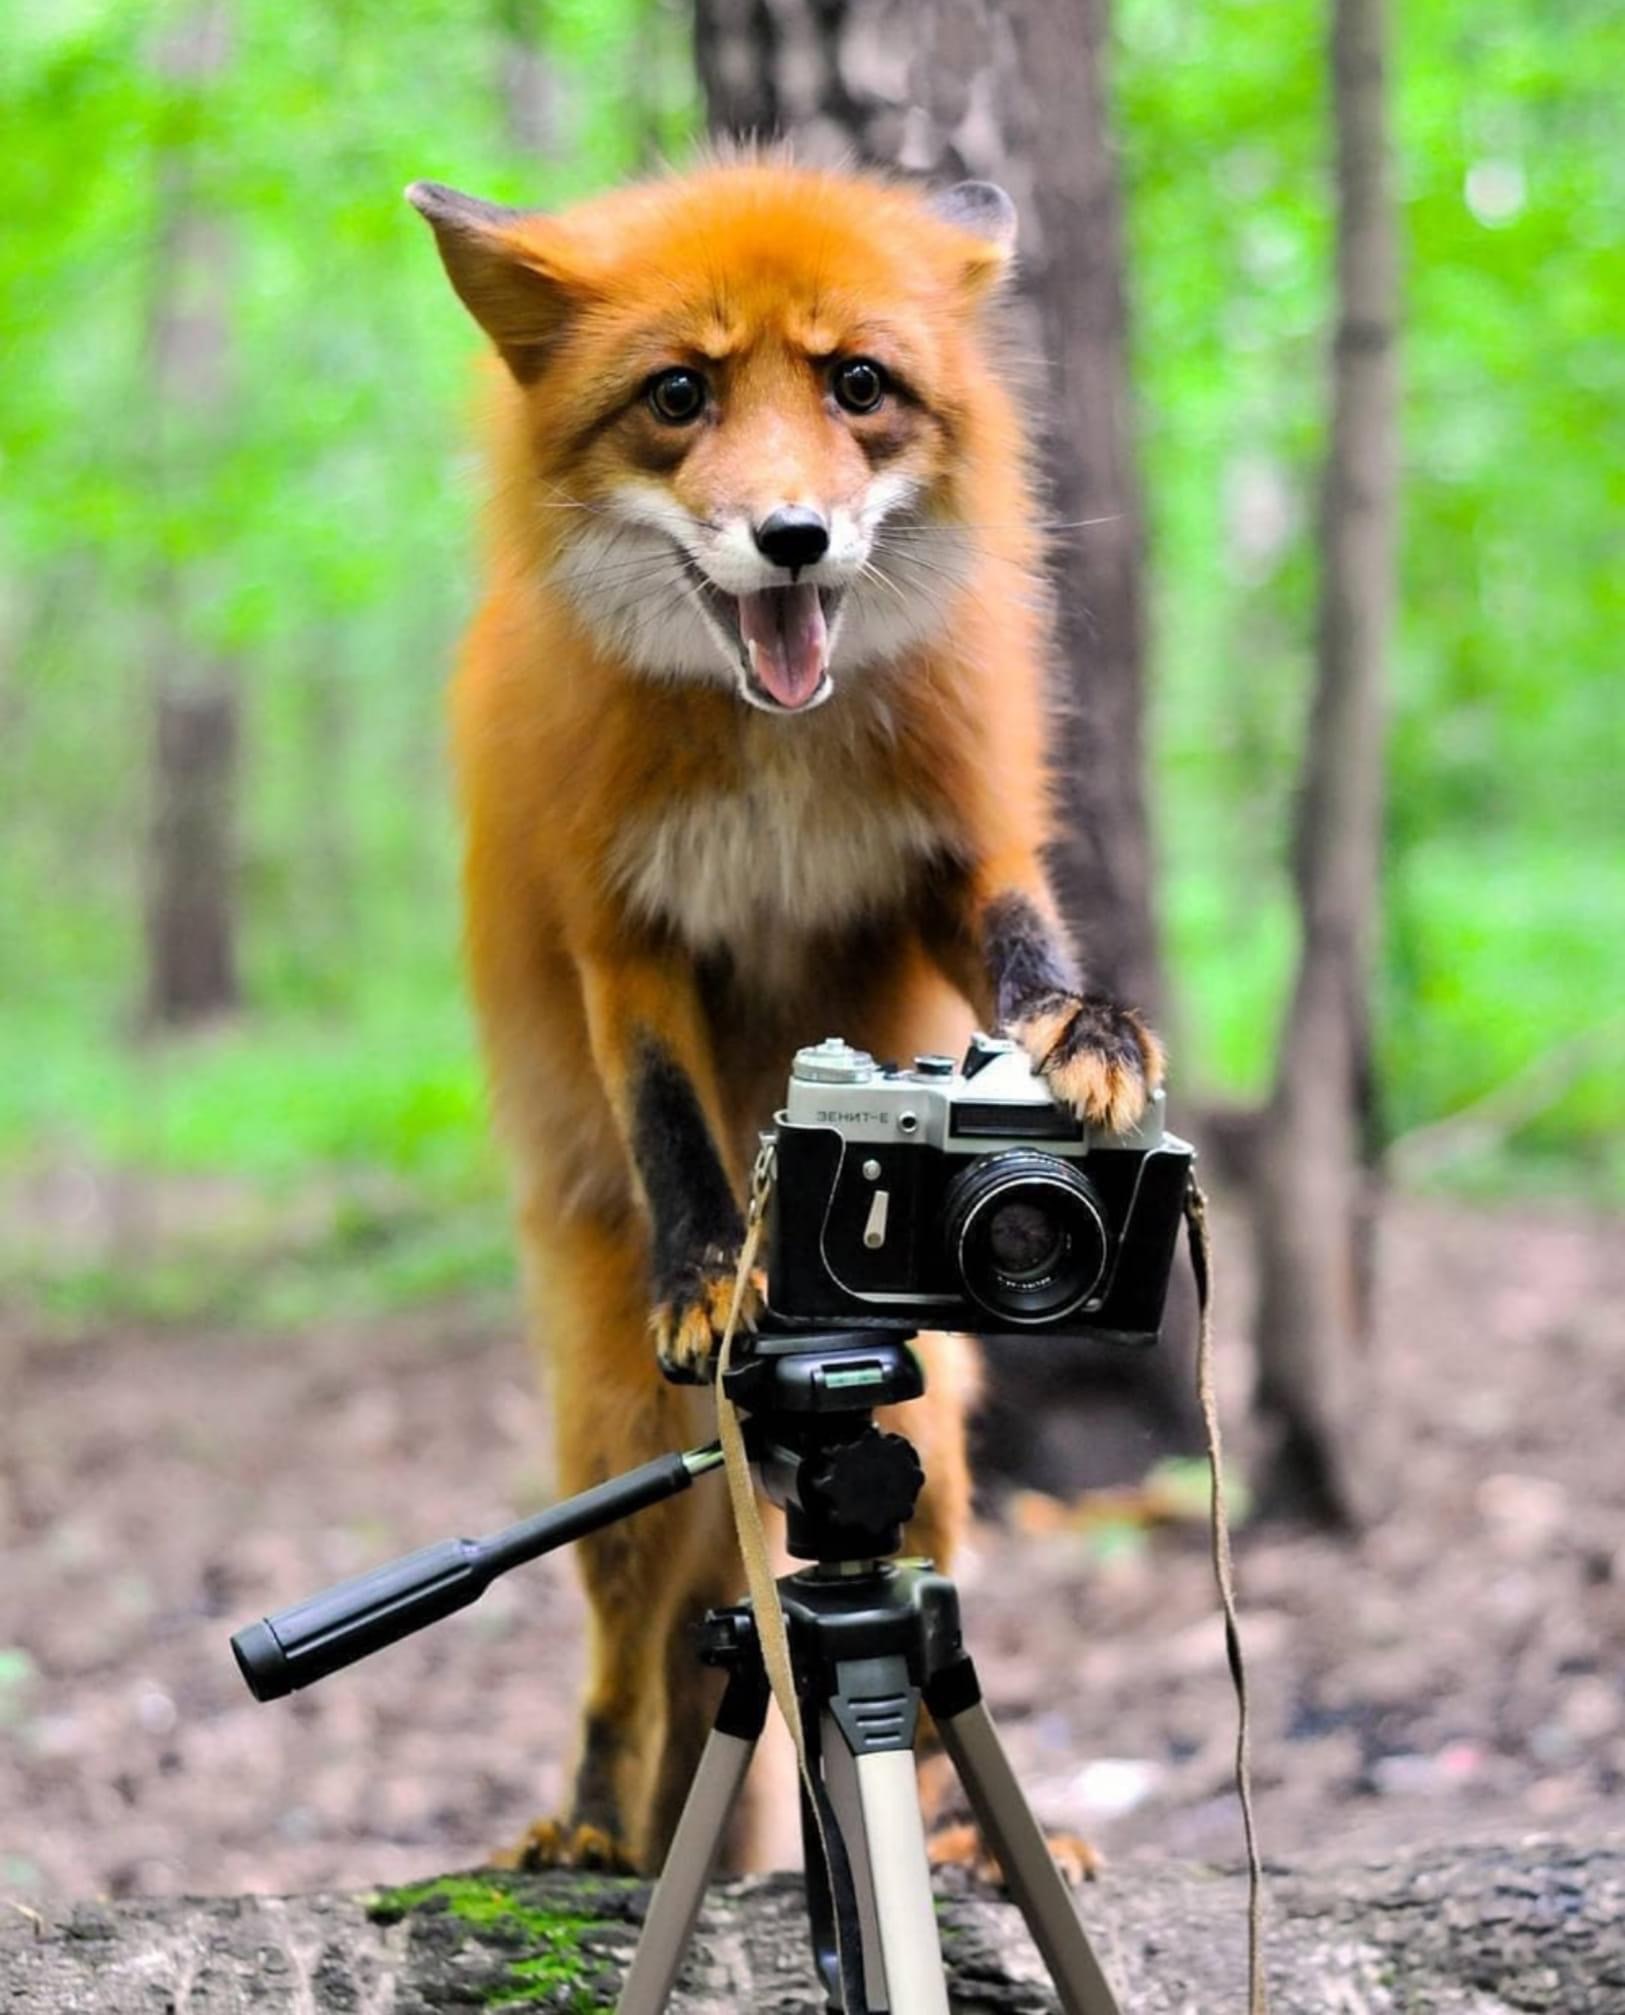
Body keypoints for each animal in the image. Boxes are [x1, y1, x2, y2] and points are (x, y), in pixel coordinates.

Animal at [407, 153, 1161, 1869]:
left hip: (935, 1425)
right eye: (678, 394)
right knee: (625, 1665)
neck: (776, 758)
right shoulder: (619, 925)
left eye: (856, 385)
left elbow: (1021, 942)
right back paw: (589, 1835)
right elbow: (669, 1113)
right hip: (622, 1438)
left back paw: (956, 1835)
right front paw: (710, 1268)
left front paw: (1083, 1037)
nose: (794, 536)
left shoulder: (944, 847)